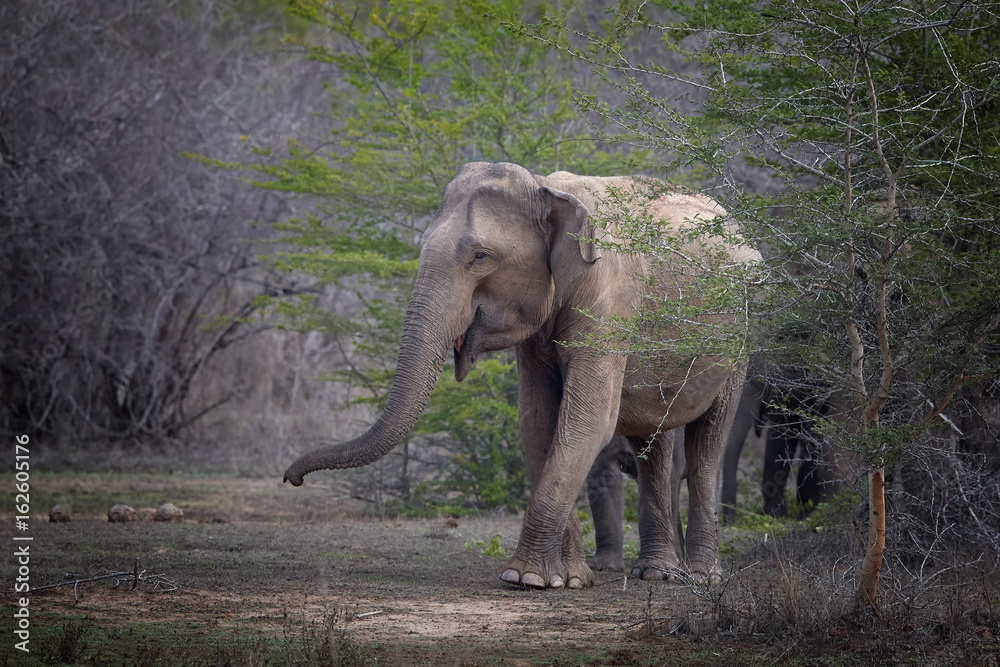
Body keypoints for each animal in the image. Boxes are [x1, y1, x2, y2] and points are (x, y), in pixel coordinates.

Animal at [284, 162, 761, 589]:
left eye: (480, 257)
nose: (292, 478)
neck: (544, 186)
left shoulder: (610, 302)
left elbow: (589, 419)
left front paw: (525, 578)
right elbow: (537, 419)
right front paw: (560, 579)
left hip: (740, 336)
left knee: (708, 441)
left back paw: (700, 577)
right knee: (653, 437)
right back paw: (657, 573)